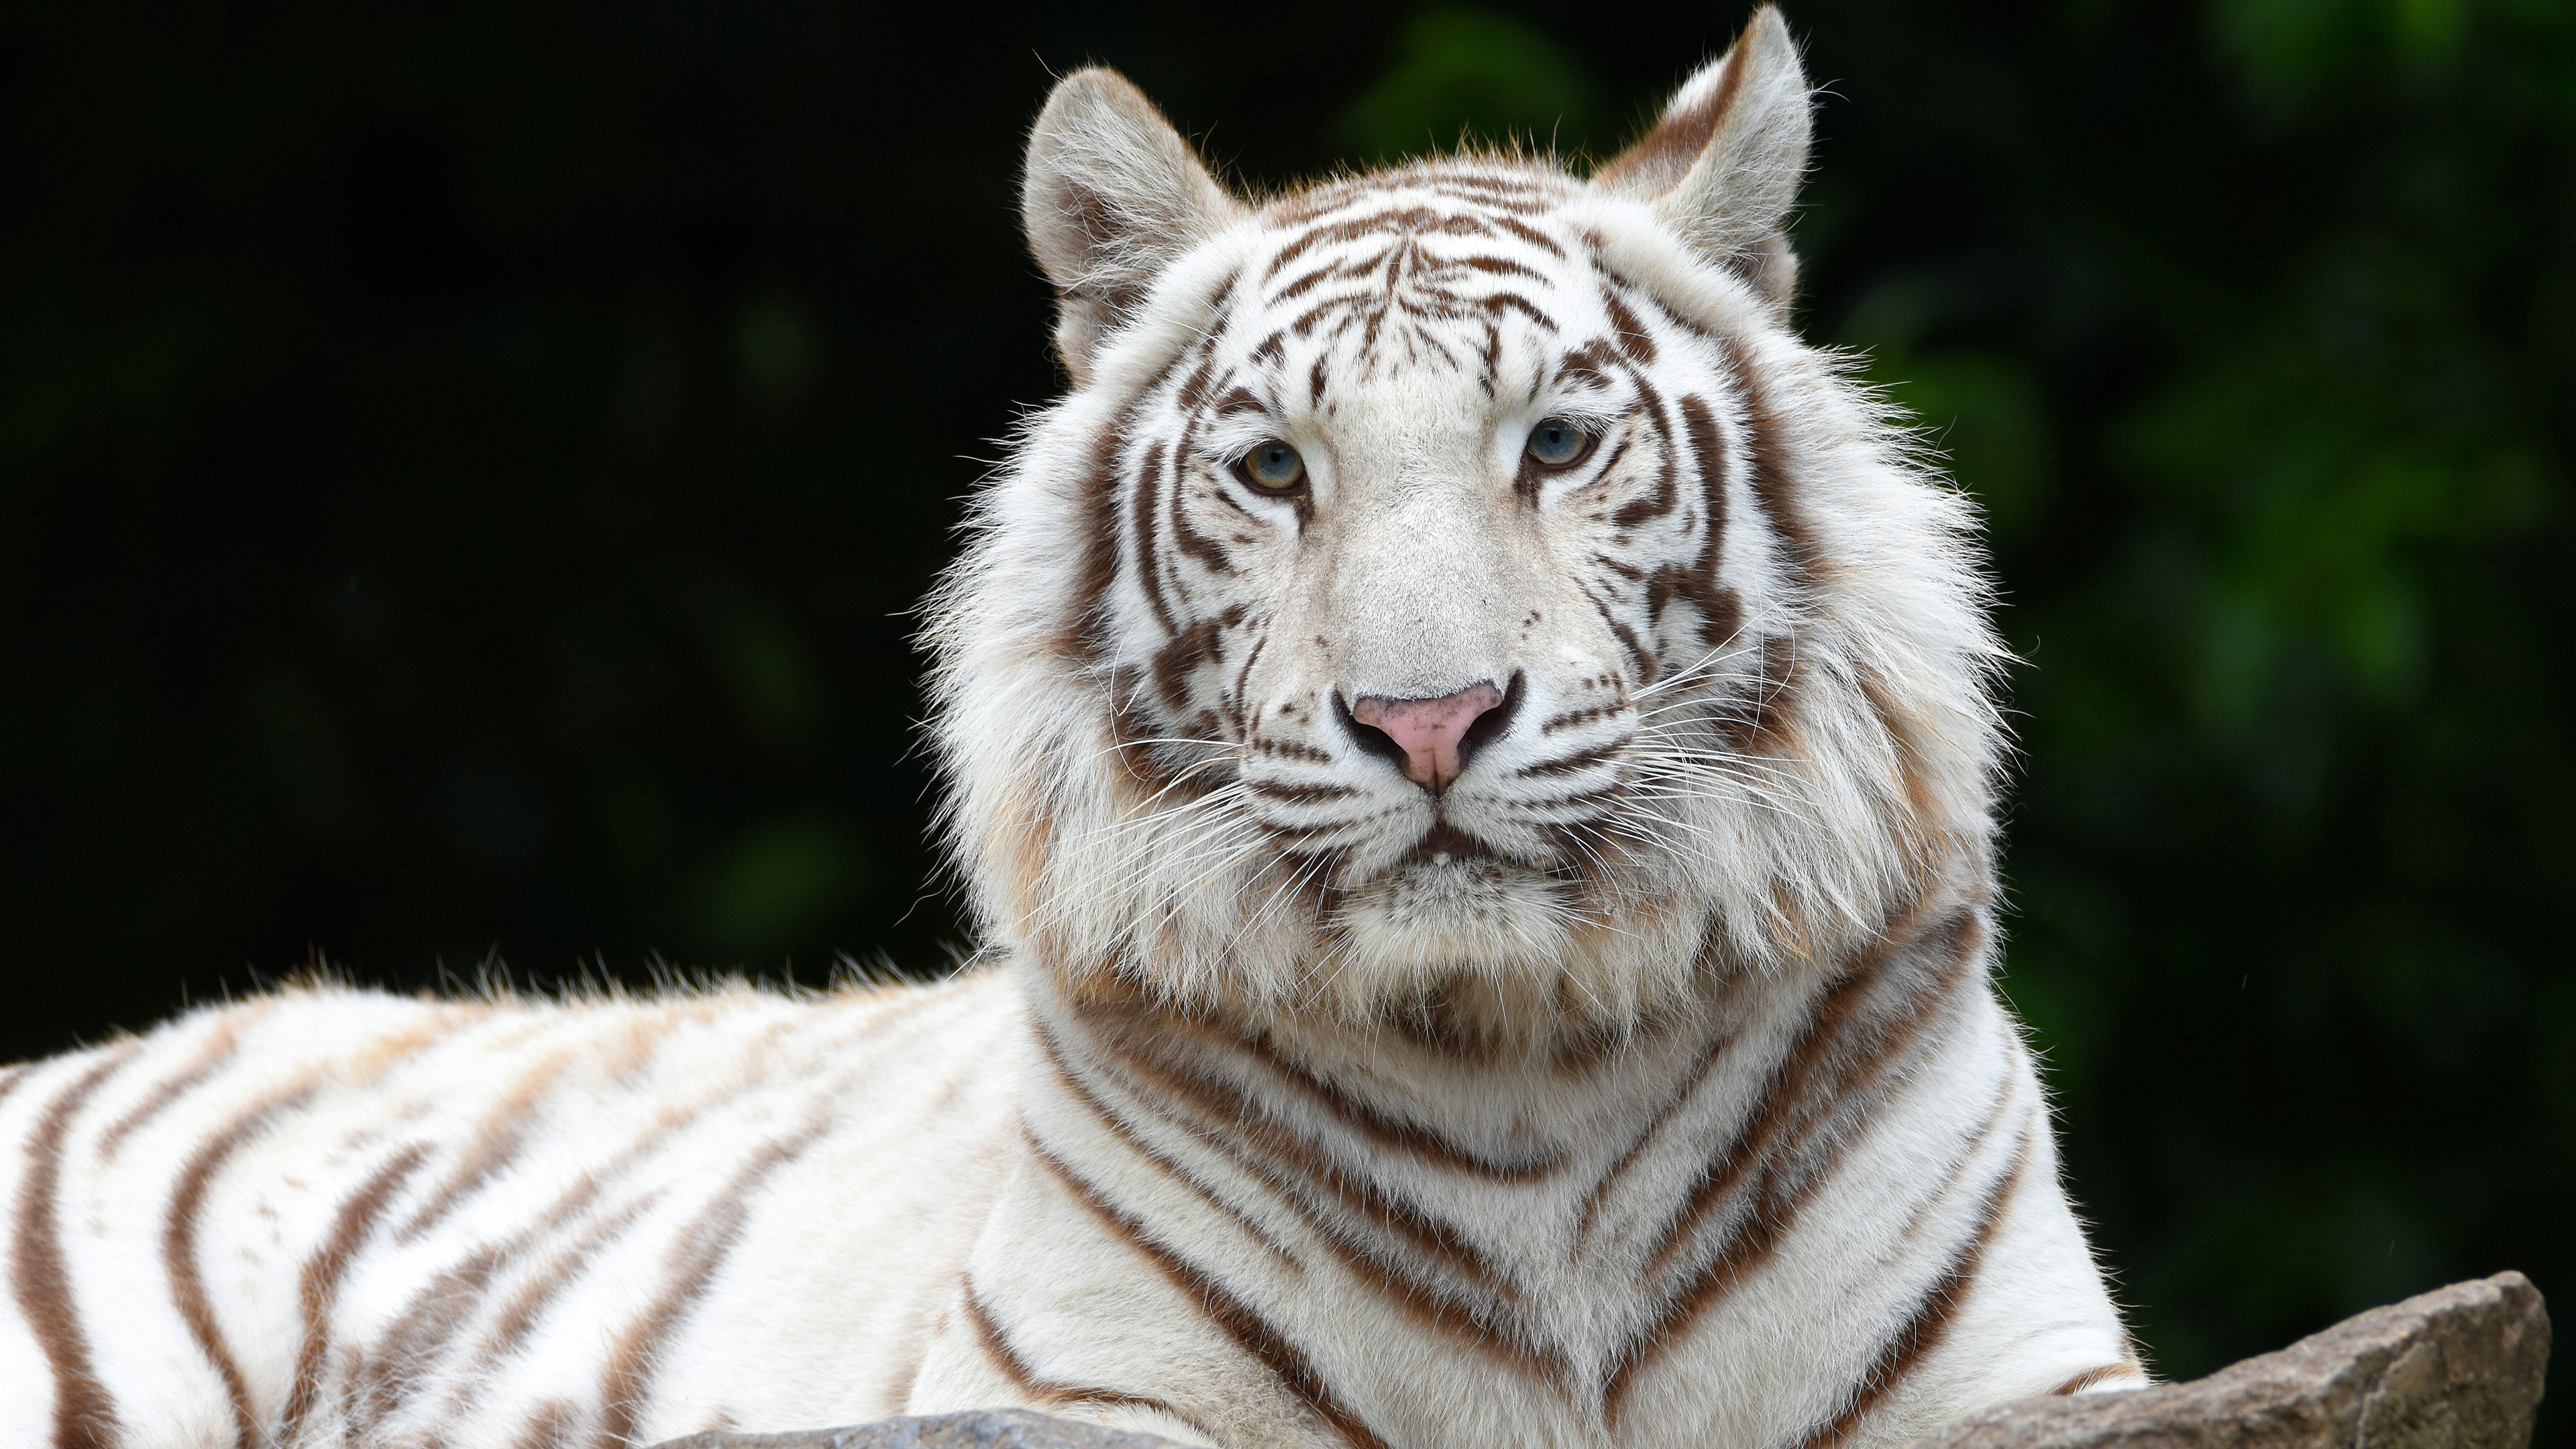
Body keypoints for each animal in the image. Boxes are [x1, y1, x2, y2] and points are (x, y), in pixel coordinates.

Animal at [0, 9, 2147, 1448]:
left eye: (1553, 442)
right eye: (1276, 470)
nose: (1429, 719)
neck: (1523, 1067)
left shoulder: (2036, 1377)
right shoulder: (1081, 1391)